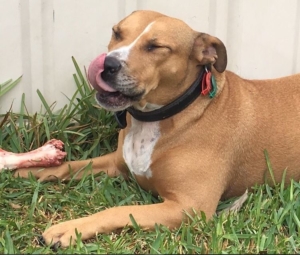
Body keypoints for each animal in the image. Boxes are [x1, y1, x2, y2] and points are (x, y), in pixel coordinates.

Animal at [15, 9, 300, 247]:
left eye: (156, 47)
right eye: (117, 33)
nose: (107, 64)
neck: (157, 118)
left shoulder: (189, 207)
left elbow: (119, 210)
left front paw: (70, 229)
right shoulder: (116, 163)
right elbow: (71, 166)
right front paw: (35, 169)